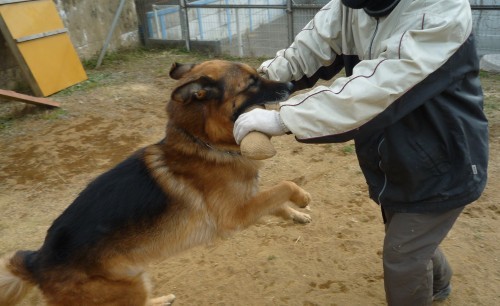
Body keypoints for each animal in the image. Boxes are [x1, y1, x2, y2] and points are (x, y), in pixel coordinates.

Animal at [0, 60, 312, 306]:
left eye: (258, 74)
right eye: (251, 82)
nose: (292, 83)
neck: (202, 144)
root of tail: (36, 262)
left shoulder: (249, 202)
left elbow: (276, 202)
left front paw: (296, 214)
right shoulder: (236, 215)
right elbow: (284, 186)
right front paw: (302, 197)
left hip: (135, 279)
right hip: (126, 290)